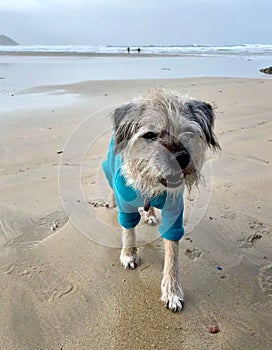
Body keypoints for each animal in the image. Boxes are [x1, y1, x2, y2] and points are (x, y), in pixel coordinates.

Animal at [99, 88, 220, 312]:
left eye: (188, 132)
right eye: (150, 135)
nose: (181, 157)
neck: (153, 184)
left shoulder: (174, 211)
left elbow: (172, 252)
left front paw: (171, 291)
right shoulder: (126, 204)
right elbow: (128, 230)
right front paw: (129, 254)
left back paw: (150, 214)